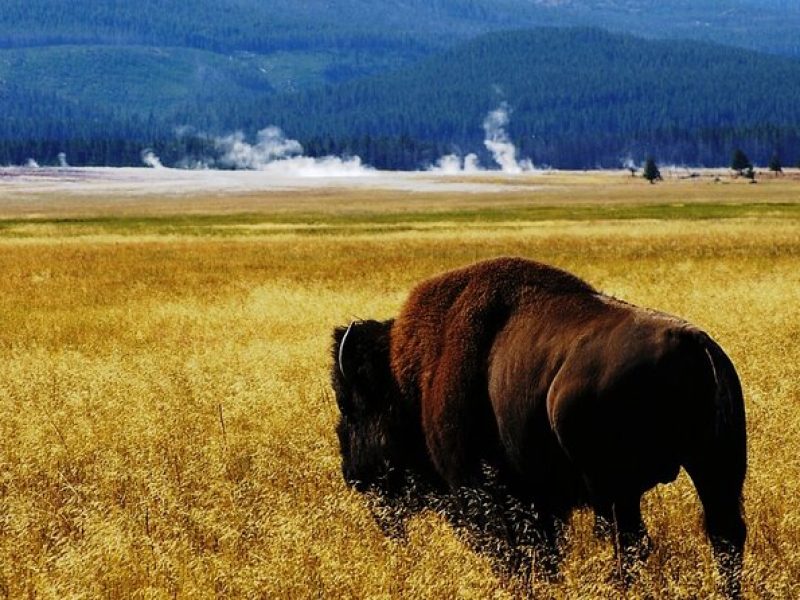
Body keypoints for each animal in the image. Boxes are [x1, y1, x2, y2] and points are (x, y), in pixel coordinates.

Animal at [330, 255, 744, 596]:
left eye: (350, 405)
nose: (352, 475)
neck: (410, 379)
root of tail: (694, 344)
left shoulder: (485, 495)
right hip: (716, 469)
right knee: (724, 536)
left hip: (617, 490)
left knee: (632, 545)